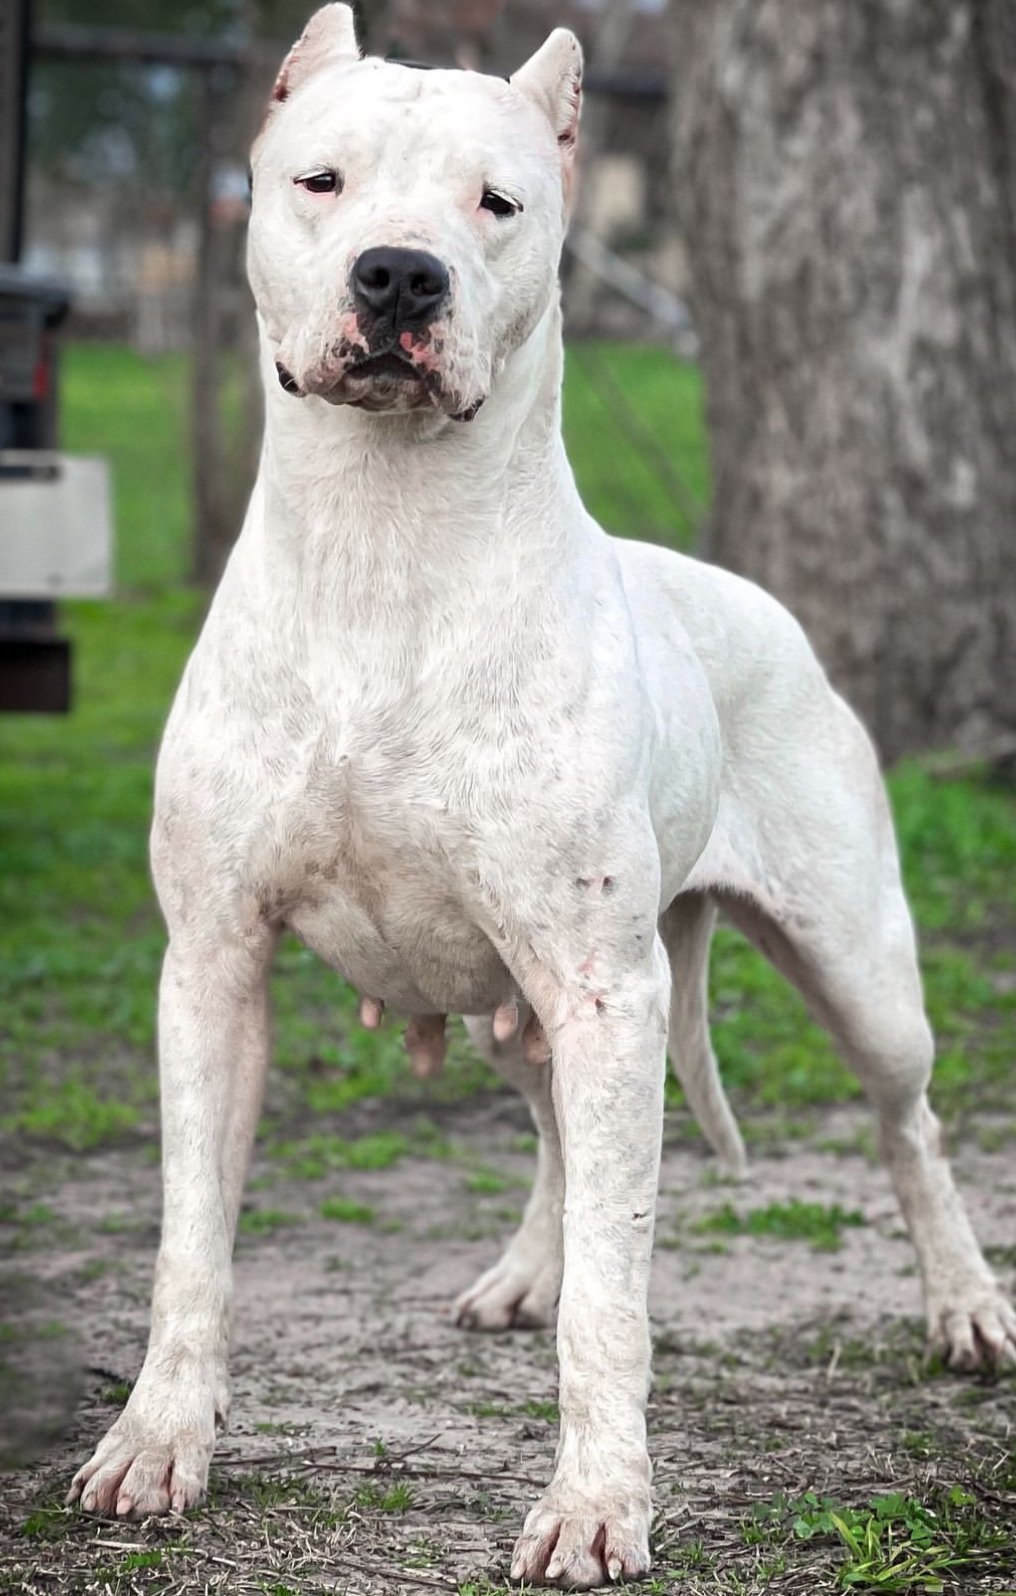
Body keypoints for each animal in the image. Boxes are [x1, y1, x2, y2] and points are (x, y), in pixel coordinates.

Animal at [69, 7, 1016, 1587]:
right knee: (562, 1141)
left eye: (497, 203)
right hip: (522, 1008)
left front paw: (596, 1502)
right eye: (320, 180)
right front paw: (158, 1440)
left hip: (852, 972)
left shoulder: (602, 985)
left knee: (908, 1129)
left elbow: (613, 1302)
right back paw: (525, 1268)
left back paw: (962, 1306)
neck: (384, 545)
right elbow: (191, 1239)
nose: (399, 274)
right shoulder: (211, 966)